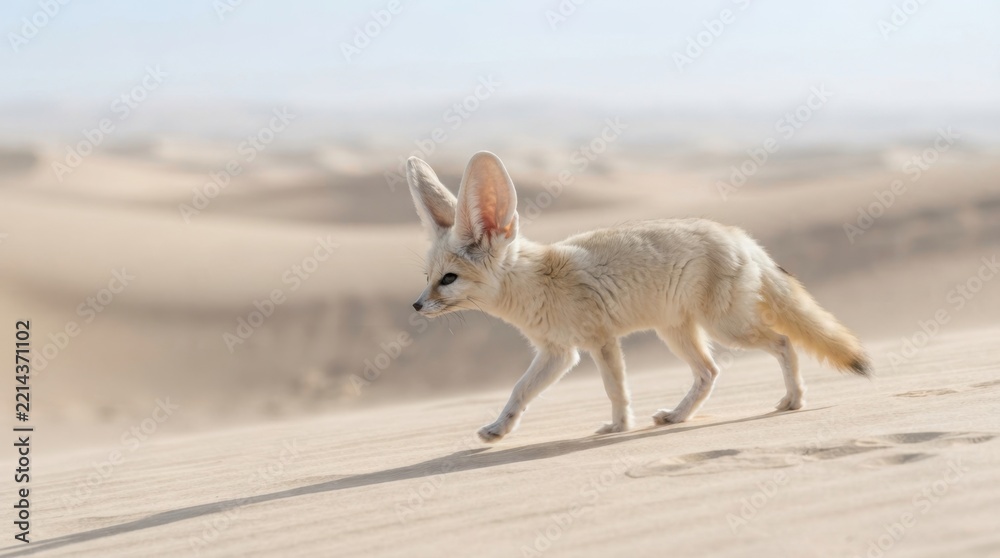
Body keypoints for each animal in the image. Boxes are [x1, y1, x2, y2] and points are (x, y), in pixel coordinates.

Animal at [407, 151, 871, 443]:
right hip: (678, 333)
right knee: (710, 372)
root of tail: (740, 236)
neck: (536, 282)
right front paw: (499, 429)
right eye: (428, 278)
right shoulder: (558, 352)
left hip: (728, 328)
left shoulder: (598, 341)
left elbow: (615, 389)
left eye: (448, 279)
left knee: (784, 342)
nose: (416, 306)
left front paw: (619, 427)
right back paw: (678, 416)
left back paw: (794, 400)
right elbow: (519, 391)